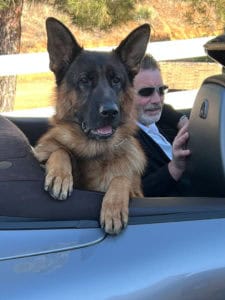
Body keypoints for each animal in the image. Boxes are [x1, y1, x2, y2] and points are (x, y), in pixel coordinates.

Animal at [35, 18, 150, 234]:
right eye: (85, 80)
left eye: (116, 80)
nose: (110, 112)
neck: (94, 150)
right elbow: (60, 151)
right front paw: (60, 175)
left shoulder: (136, 190)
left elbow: (122, 178)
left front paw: (113, 207)